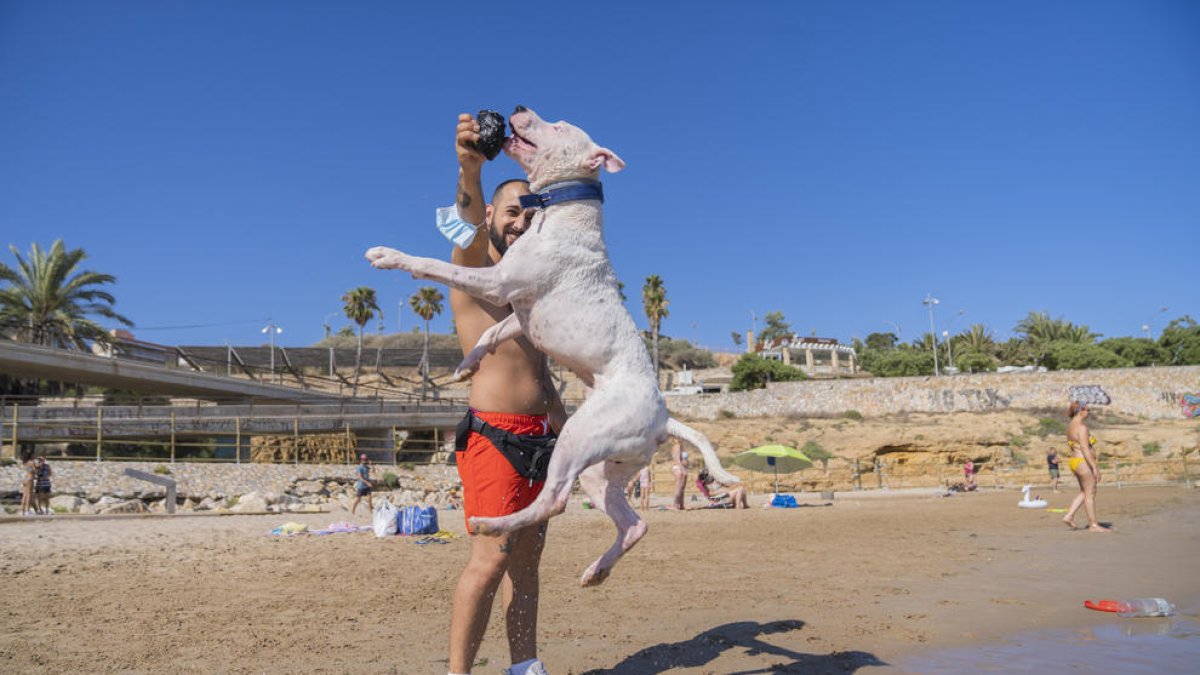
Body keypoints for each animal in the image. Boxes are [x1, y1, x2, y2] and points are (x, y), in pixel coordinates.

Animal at [364, 106, 739, 583]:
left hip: (577, 438)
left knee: (555, 499)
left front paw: (389, 256)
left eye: (558, 126)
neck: (562, 209)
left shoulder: (497, 282)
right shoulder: (519, 313)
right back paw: (597, 570)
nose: (519, 107)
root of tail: (664, 418)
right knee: (633, 523)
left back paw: (493, 523)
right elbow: (491, 333)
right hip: (602, 471)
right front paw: (468, 364)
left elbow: (434, 265)